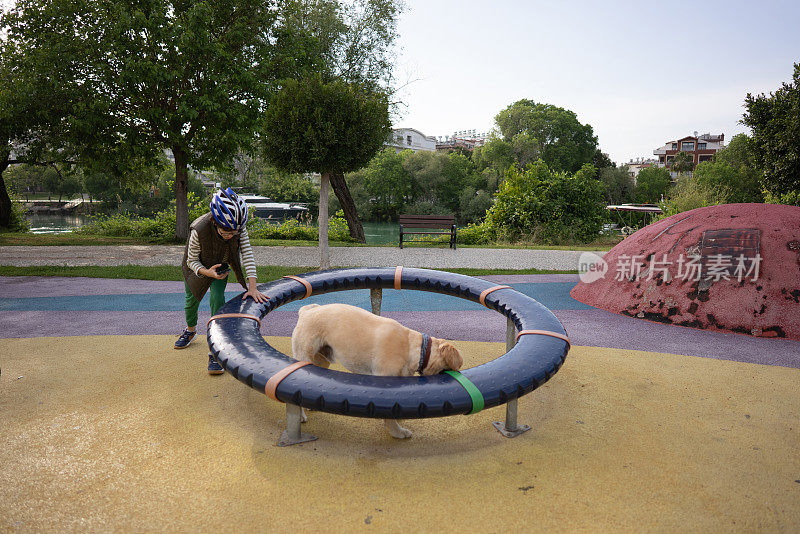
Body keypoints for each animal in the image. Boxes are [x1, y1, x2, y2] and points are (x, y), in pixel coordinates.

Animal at [292, 304, 462, 438]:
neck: (414, 349)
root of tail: (306, 311)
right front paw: (397, 432)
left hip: (321, 360)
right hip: (305, 357)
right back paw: (300, 416)